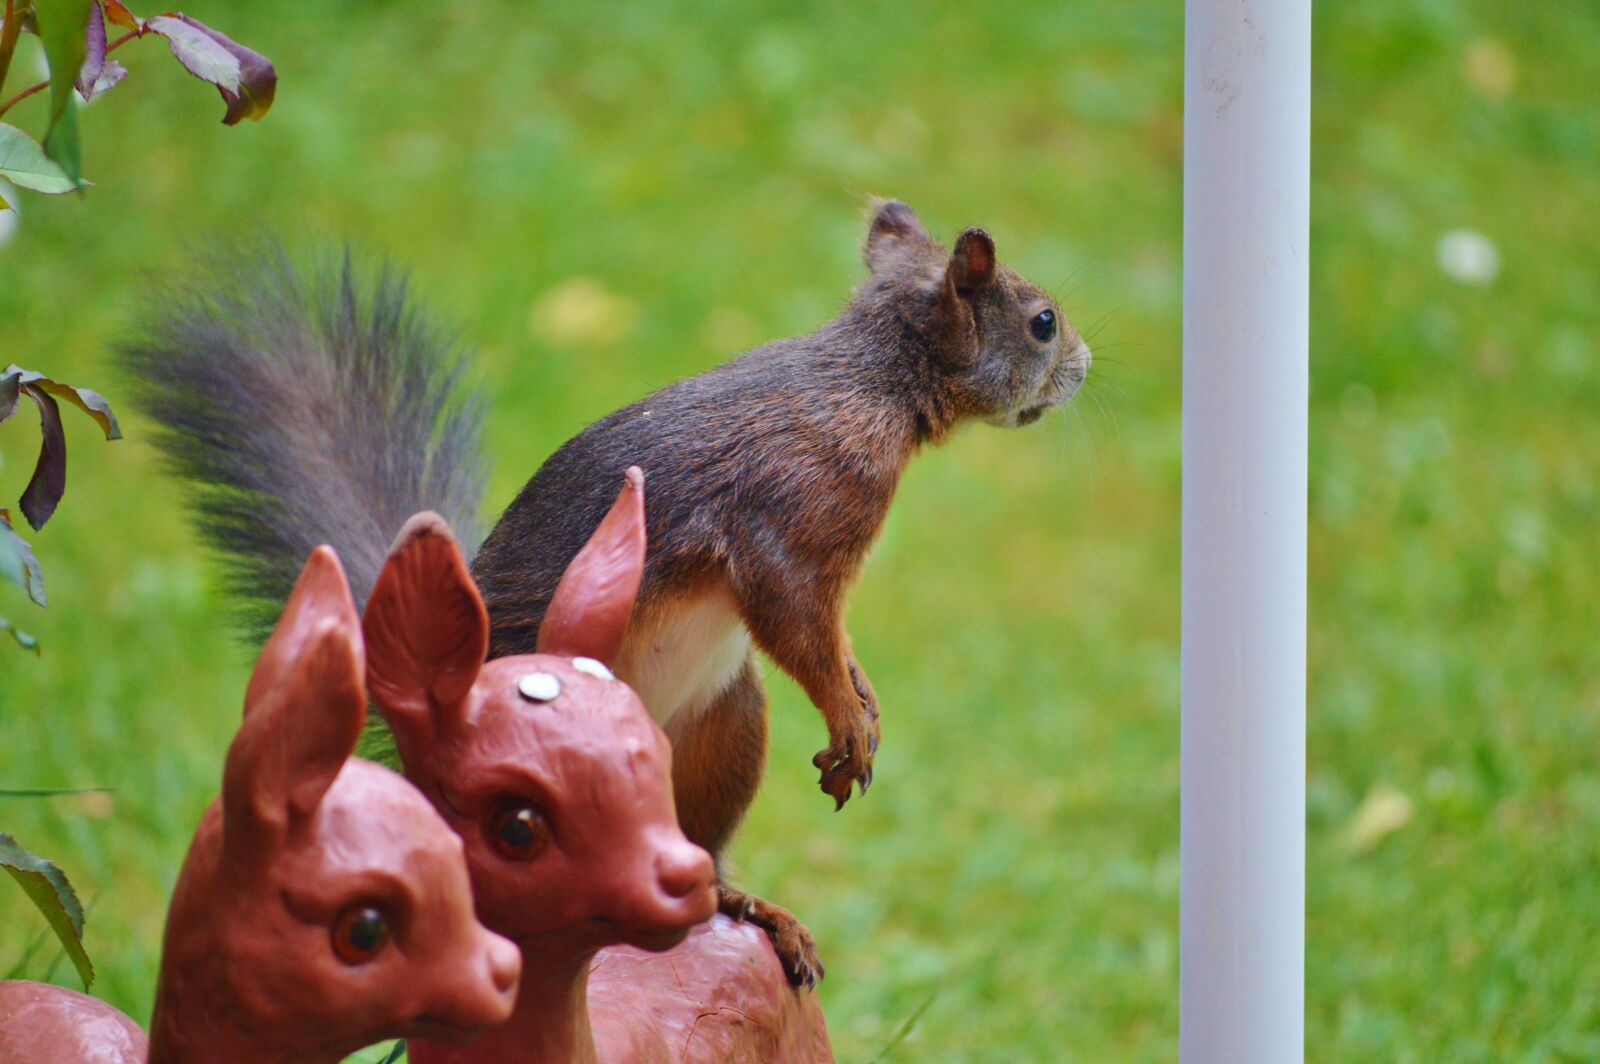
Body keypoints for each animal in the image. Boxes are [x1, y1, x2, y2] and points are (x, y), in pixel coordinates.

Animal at [119, 200, 1091, 985]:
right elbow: (798, 622)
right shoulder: (793, 515)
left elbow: (832, 642)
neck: (873, 382)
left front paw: (863, 694)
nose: (1084, 363)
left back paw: (741, 907)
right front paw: (847, 717)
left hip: (720, 729)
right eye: (1042, 322)